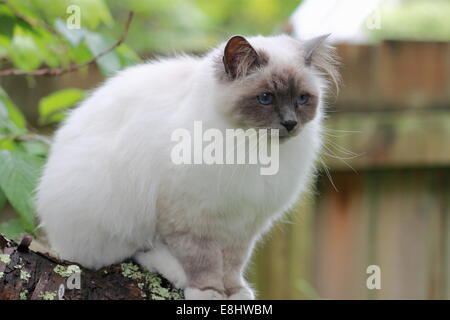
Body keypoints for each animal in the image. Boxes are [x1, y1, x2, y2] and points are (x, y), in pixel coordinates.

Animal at [36, 34, 338, 300]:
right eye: (265, 98)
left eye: (302, 99)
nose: (290, 123)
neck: (251, 147)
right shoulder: (189, 219)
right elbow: (203, 261)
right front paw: (209, 291)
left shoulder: (242, 225)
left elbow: (232, 265)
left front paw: (235, 292)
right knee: (123, 253)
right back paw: (175, 271)